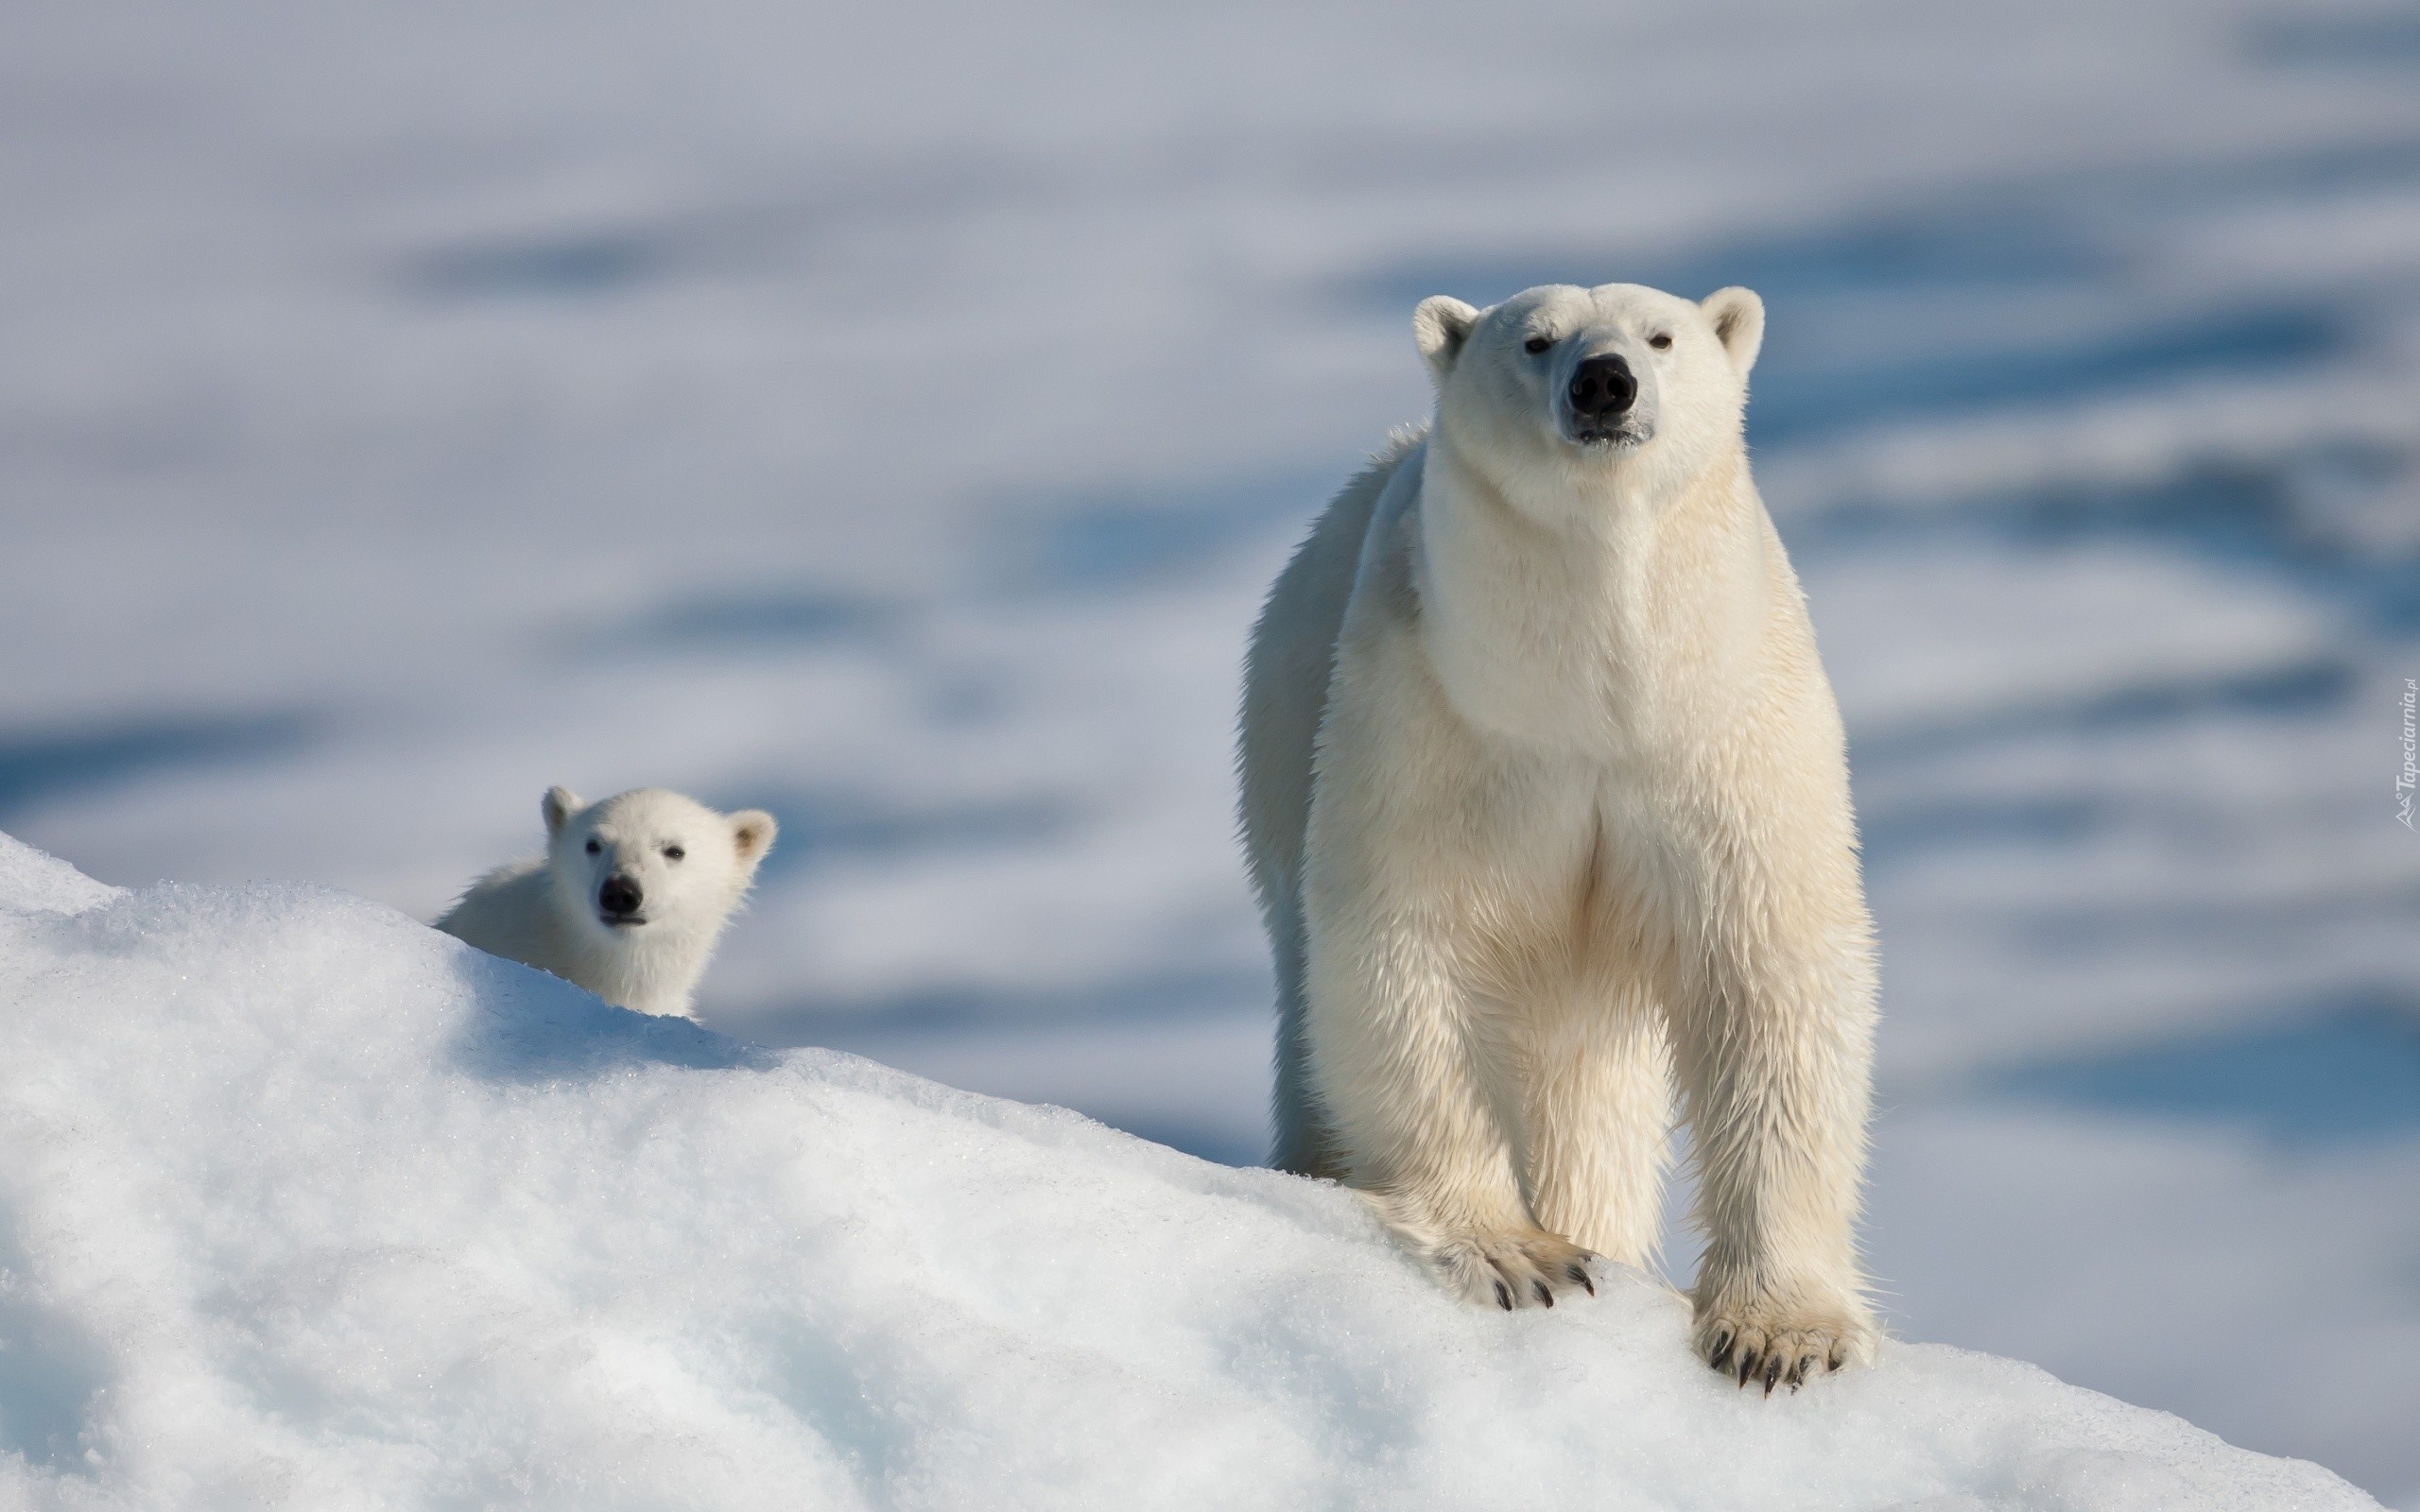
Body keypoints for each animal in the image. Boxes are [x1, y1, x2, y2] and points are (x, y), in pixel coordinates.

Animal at [1238, 277, 1877, 1383]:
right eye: (1535, 341)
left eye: (1660, 337)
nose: (1604, 382)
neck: (1595, 691)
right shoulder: (1439, 717)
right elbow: (1410, 949)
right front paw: (1517, 1254)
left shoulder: (1722, 730)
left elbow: (1769, 974)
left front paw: (1777, 1333)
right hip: (1283, 738)